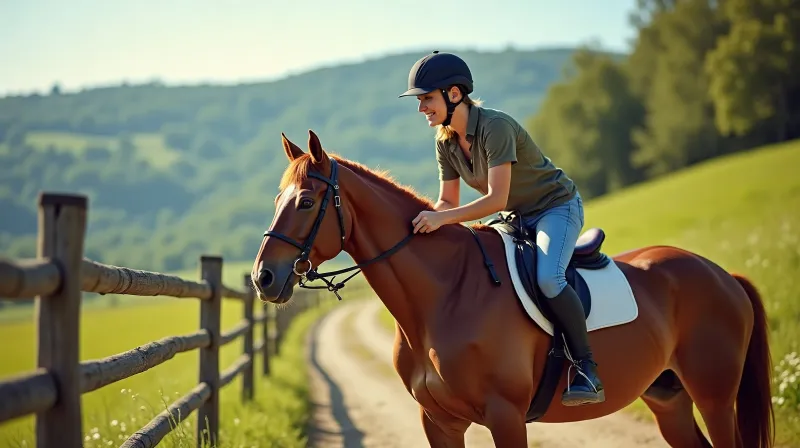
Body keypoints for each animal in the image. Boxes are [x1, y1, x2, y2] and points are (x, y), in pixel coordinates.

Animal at [251, 130, 775, 448]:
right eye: (276, 199)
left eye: (306, 201)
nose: (263, 278)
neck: (443, 298)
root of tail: (722, 274)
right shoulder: (437, 422)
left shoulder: (505, 417)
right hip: (669, 398)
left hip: (713, 395)